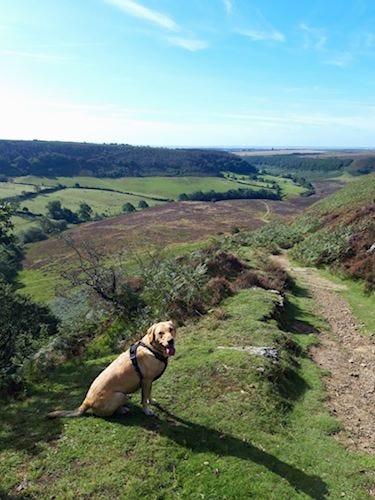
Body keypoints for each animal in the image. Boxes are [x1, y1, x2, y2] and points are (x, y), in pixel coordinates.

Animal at [48, 320, 176, 418]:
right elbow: (144, 398)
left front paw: (151, 401)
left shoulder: (149, 382)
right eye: (160, 333)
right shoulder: (145, 381)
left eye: (171, 329)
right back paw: (122, 410)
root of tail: (87, 401)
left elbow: (148, 394)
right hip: (120, 395)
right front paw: (147, 410)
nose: (171, 341)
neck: (151, 348)